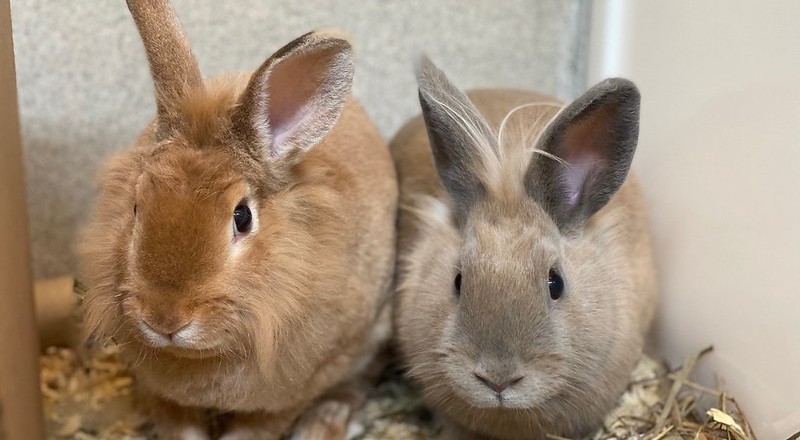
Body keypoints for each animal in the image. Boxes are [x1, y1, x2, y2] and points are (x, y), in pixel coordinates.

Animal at [79, 1, 397, 439]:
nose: (164, 320)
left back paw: (327, 421)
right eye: (137, 206)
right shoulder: (165, 395)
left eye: (242, 217)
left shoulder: (291, 392)